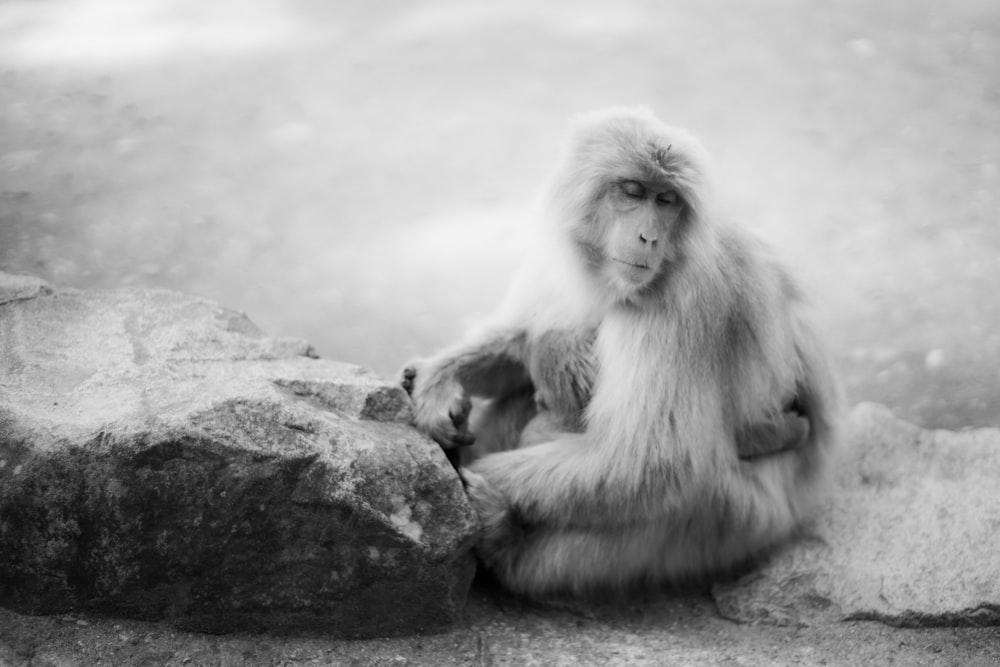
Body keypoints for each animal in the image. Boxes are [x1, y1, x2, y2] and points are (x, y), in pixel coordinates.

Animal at [402, 107, 840, 596]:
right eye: (633, 192)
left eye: (666, 200)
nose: (649, 237)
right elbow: (521, 343)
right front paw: (438, 382)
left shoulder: (677, 304)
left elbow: (648, 465)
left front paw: (464, 478)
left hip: (742, 523)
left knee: (682, 484)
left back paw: (506, 544)